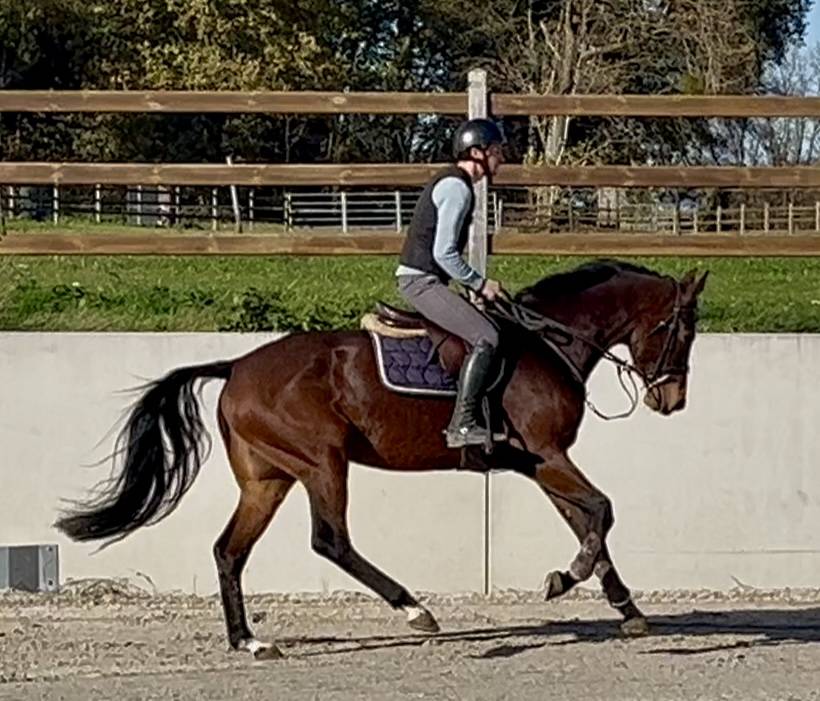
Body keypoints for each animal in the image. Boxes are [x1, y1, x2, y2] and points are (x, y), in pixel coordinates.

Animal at [54, 259, 708, 660]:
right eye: (681, 330)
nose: (672, 399)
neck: (547, 342)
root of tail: (236, 365)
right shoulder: (547, 455)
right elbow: (603, 509)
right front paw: (563, 579)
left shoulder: (542, 463)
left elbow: (588, 520)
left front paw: (626, 608)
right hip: (322, 462)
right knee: (330, 540)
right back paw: (415, 610)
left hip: (268, 478)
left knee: (229, 551)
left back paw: (249, 641)